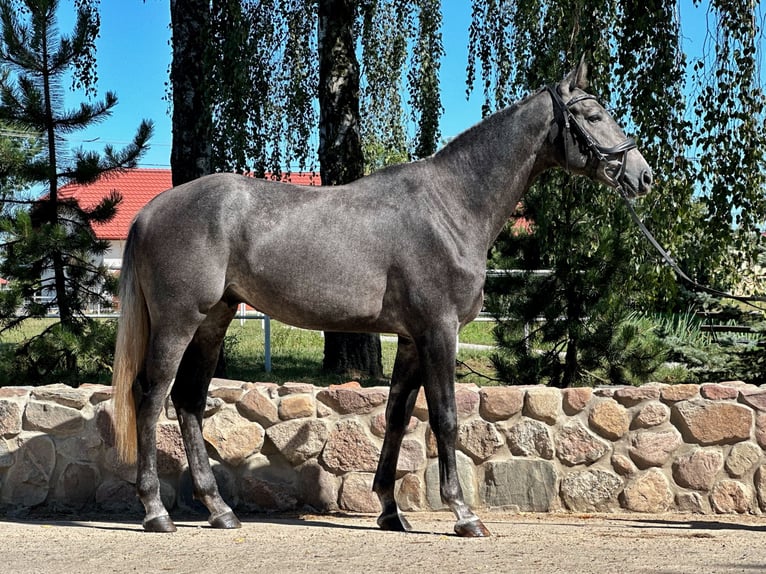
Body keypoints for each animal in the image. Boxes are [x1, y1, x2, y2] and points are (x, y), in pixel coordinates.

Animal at [114, 63, 656, 540]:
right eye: (592, 114)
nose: (644, 176)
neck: (450, 206)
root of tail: (150, 212)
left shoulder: (412, 339)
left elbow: (397, 417)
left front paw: (391, 512)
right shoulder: (439, 332)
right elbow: (445, 419)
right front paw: (464, 516)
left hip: (213, 321)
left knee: (187, 401)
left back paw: (220, 511)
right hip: (179, 322)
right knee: (152, 396)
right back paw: (157, 512)